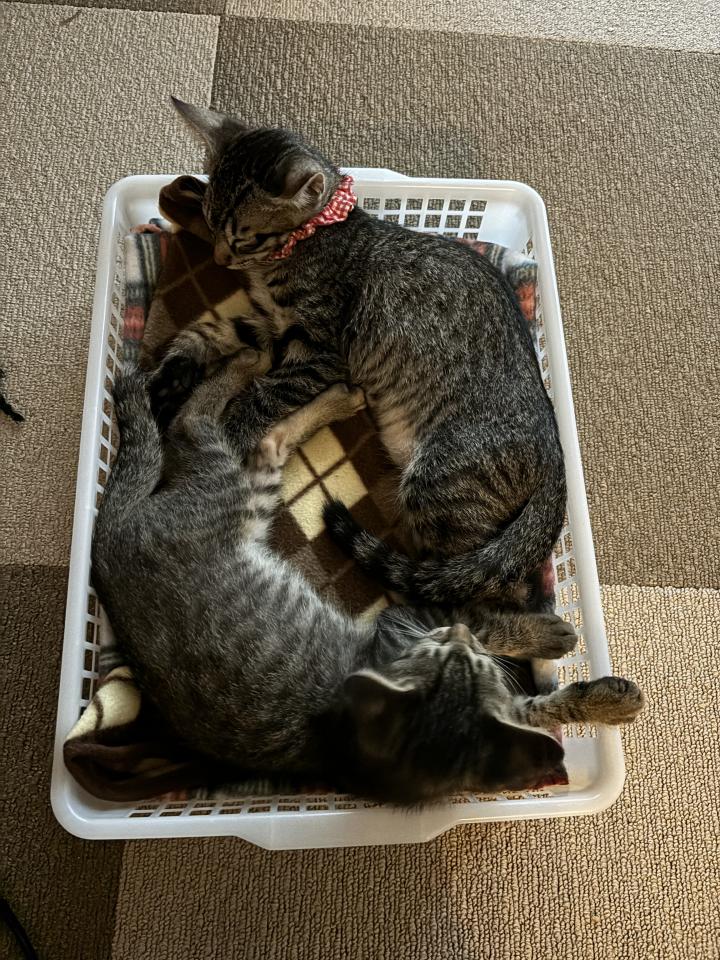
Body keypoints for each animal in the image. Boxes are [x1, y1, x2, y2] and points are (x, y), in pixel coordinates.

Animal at [91, 345, 644, 805]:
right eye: (441, 657)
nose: (457, 640)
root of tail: (107, 537)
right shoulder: (412, 618)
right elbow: (487, 625)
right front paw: (551, 635)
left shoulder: (498, 703)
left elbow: (544, 706)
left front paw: (607, 702)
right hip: (223, 489)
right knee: (192, 421)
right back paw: (255, 363)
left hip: (251, 492)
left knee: (266, 439)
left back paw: (330, 397)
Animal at [160, 98, 567, 615]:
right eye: (211, 224)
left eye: (244, 237)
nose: (219, 259)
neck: (307, 243)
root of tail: (556, 459)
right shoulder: (273, 327)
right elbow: (214, 332)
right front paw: (176, 365)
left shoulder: (320, 350)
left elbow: (263, 396)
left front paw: (227, 438)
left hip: (443, 482)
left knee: (480, 589)